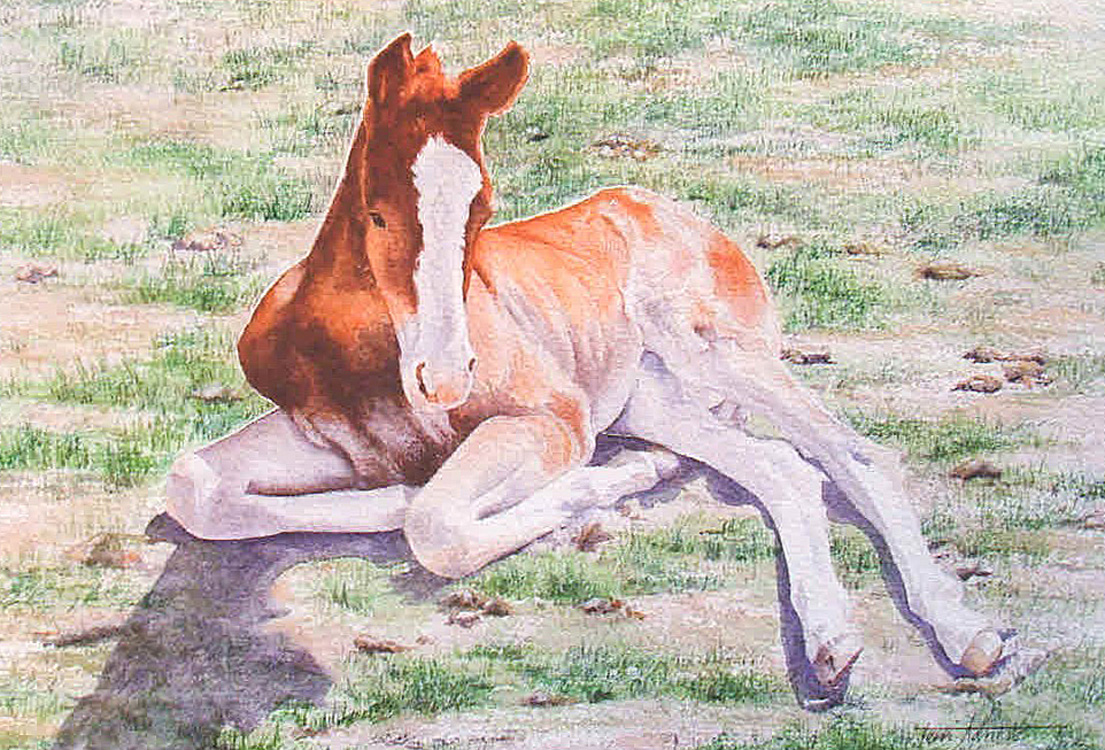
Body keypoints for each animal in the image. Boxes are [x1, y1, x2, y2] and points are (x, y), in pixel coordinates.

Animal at [166, 34, 1007, 695]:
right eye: (375, 210)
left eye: (481, 207)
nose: (446, 376)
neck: (365, 355)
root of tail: (667, 209)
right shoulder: (323, 436)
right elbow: (196, 488)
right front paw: (405, 491)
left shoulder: (555, 422)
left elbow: (435, 523)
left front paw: (571, 492)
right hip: (654, 399)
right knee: (782, 469)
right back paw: (827, 638)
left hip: (714, 348)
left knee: (854, 454)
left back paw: (967, 636)